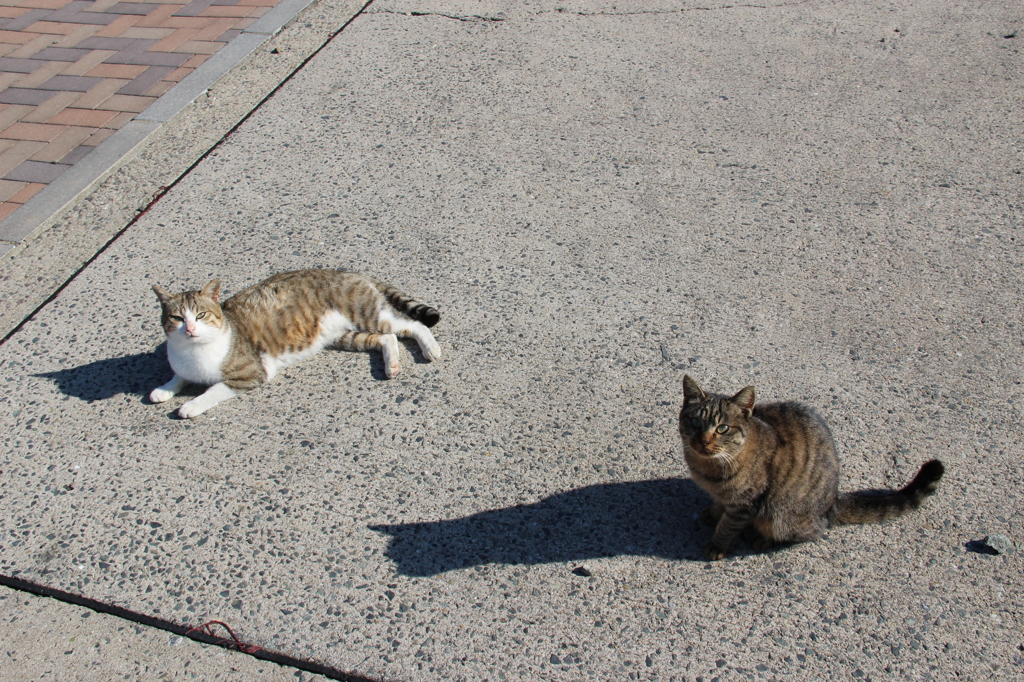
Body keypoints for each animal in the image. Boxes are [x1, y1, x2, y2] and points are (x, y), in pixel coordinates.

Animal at [679, 374, 942, 561]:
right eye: (695, 422)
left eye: (722, 428)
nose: (703, 441)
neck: (710, 466)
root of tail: (832, 503)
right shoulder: (724, 495)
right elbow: (719, 505)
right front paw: (714, 513)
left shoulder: (745, 502)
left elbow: (728, 525)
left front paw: (717, 545)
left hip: (782, 515)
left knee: (811, 532)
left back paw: (765, 539)